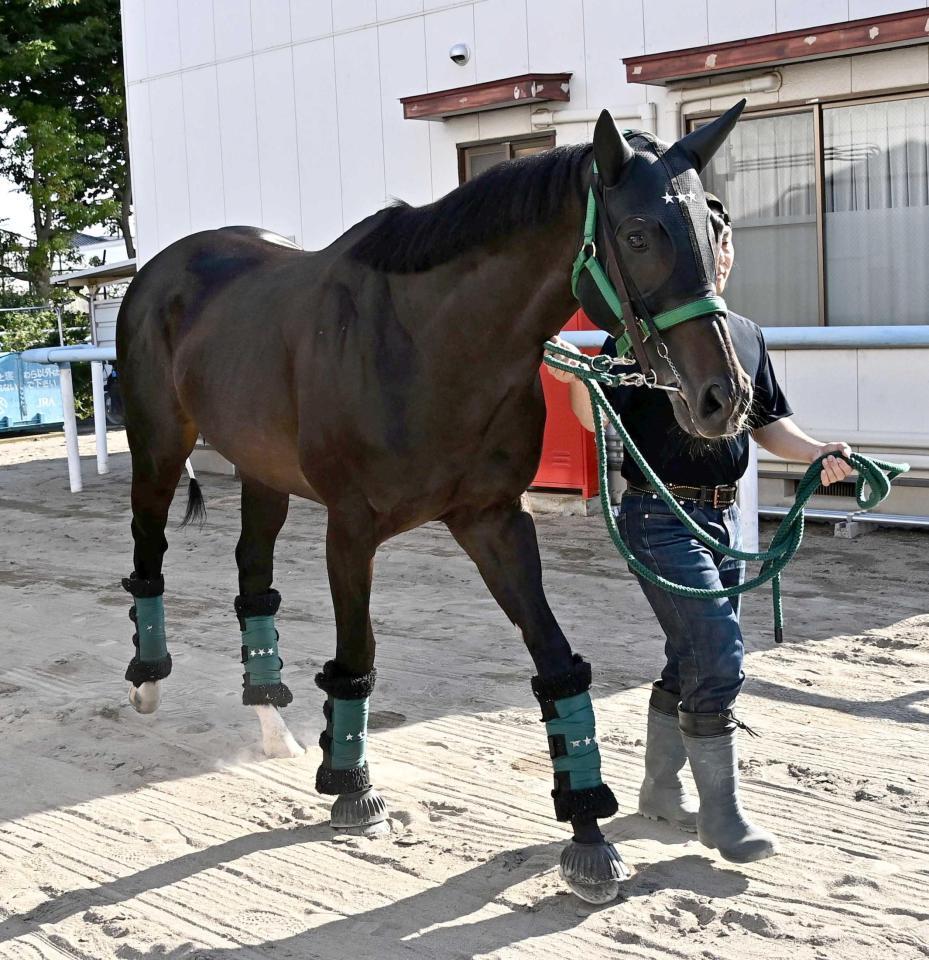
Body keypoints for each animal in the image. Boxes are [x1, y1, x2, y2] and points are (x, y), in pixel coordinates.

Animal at [115, 103, 751, 904]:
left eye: (715, 222)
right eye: (637, 233)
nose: (722, 397)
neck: (430, 344)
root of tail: (163, 268)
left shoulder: (494, 522)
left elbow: (555, 664)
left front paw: (587, 833)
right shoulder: (352, 530)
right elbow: (356, 655)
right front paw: (352, 785)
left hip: (262, 472)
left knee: (252, 576)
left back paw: (269, 723)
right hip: (158, 447)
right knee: (149, 552)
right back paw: (146, 682)